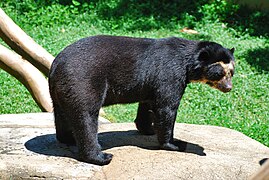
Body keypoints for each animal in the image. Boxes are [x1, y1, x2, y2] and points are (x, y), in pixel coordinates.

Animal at [48, 35, 234, 166]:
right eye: (219, 73)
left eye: (231, 72)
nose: (228, 88)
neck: (188, 63)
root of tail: (55, 66)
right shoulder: (170, 74)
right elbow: (167, 107)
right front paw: (175, 144)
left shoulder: (150, 83)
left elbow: (148, 104)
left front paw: (148, 129)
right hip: (83, 83)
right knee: (86, 118)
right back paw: (101, 156)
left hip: (60, 92)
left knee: (62, 115)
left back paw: (68, 139)